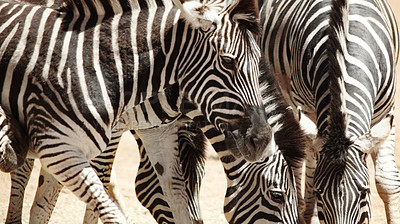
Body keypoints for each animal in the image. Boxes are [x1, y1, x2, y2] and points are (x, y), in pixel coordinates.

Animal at [0, 0, 276, 222]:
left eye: (258, 61)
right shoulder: (74, 142)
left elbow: (173, 192)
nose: (262, 140)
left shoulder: (158, 131)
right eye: (228, 62)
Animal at [260, 0, 400, 223]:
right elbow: (310, 172)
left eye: (364, 192)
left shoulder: (386, 110)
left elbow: (387, 180)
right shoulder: (307, 109)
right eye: (320, 194)